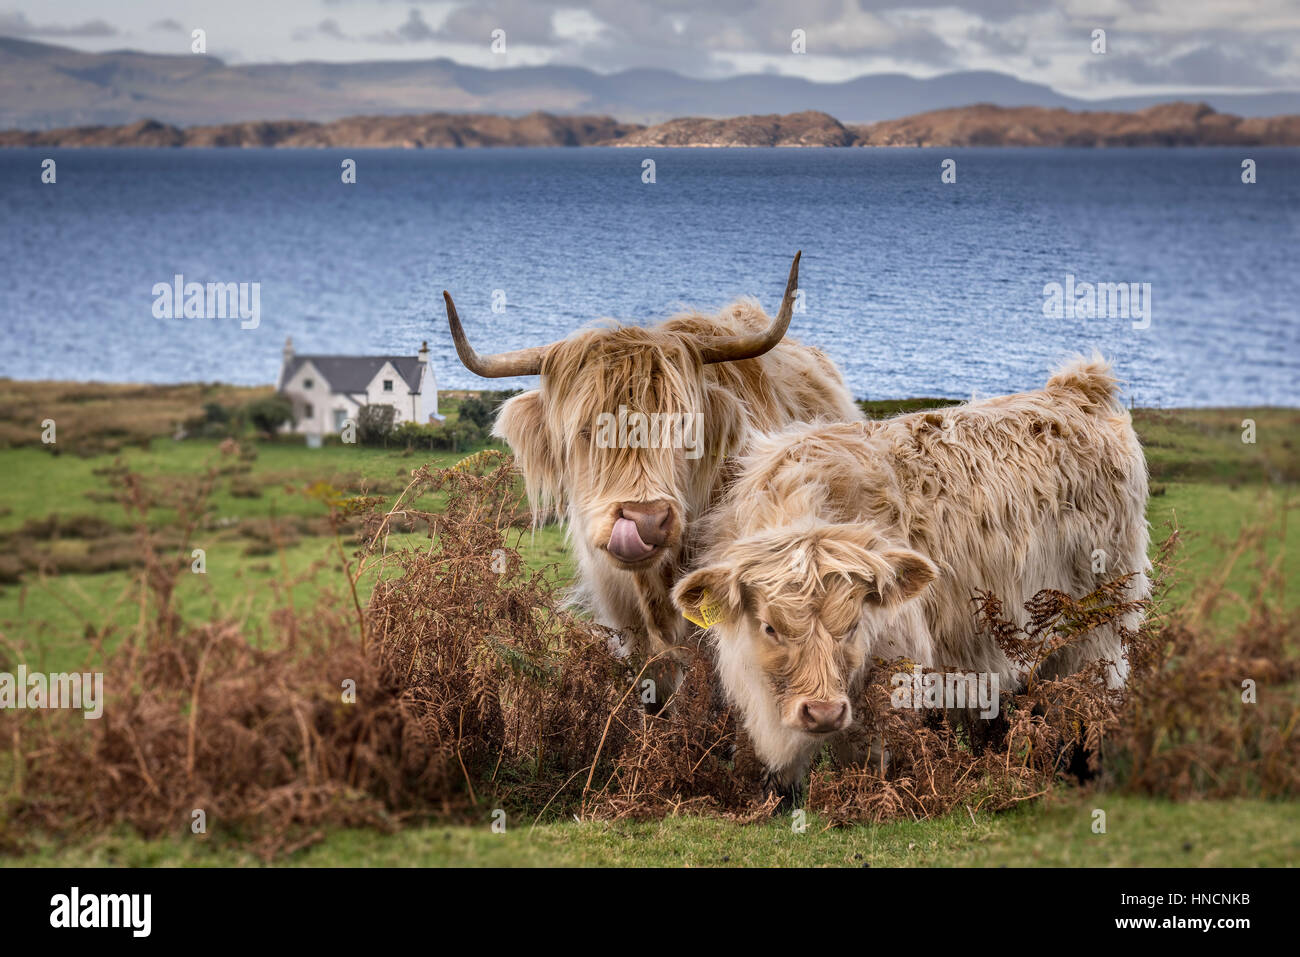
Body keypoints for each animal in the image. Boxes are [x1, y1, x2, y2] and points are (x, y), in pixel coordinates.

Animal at [671, 357, 1149, 792]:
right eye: (769, 627)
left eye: (854, 626)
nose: (822, 711)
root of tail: (1076, 390)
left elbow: (867, 757)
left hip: (1099, 622)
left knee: (1086, 698)